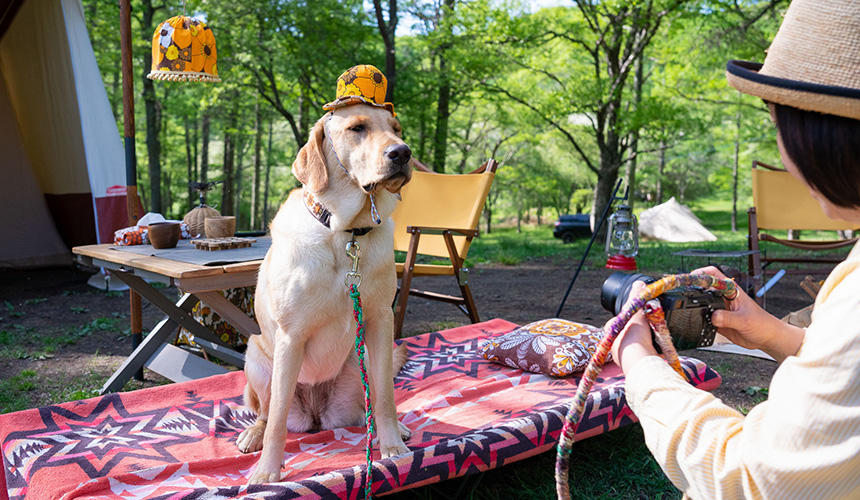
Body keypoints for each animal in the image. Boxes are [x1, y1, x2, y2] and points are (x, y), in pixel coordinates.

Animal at [235, 105, 410, 484]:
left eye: (396, 129)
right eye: (357, 128)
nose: (402, 153)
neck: (347, 234)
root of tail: (317, 417)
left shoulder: (380, 322)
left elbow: (387, 399)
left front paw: (393, 446)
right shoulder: (290, 338)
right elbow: (277, 421)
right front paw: (267, 472)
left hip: (362, 361)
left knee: (369, 405)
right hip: (257, 360)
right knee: (266, 413)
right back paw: (253, 434)